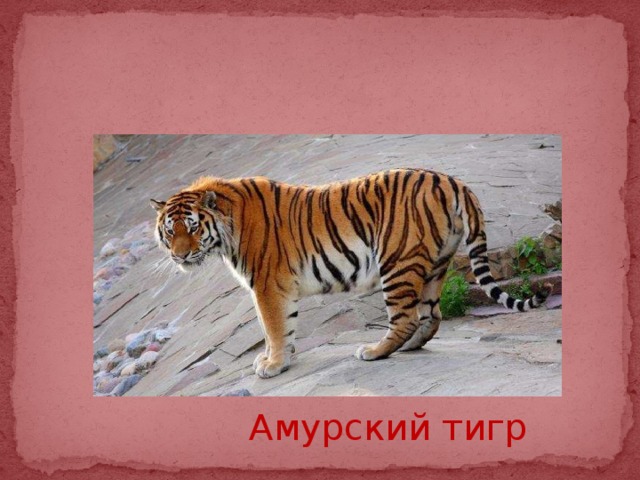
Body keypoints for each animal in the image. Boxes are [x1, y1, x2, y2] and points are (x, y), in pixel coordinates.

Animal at [150, 168, 550, 378]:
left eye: (193, 227)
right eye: (170, 230)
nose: (179, 255)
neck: (226, 230)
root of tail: (452, 181)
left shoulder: (266, 286)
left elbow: (273, 327)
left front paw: (273, 364)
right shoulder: (275, 289)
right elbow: (282, 328)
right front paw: (281, 358)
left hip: (397, 262)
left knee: (404, 318)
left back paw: (374, 352)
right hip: (436, 265)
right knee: (431, 316)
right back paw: (410, 346)